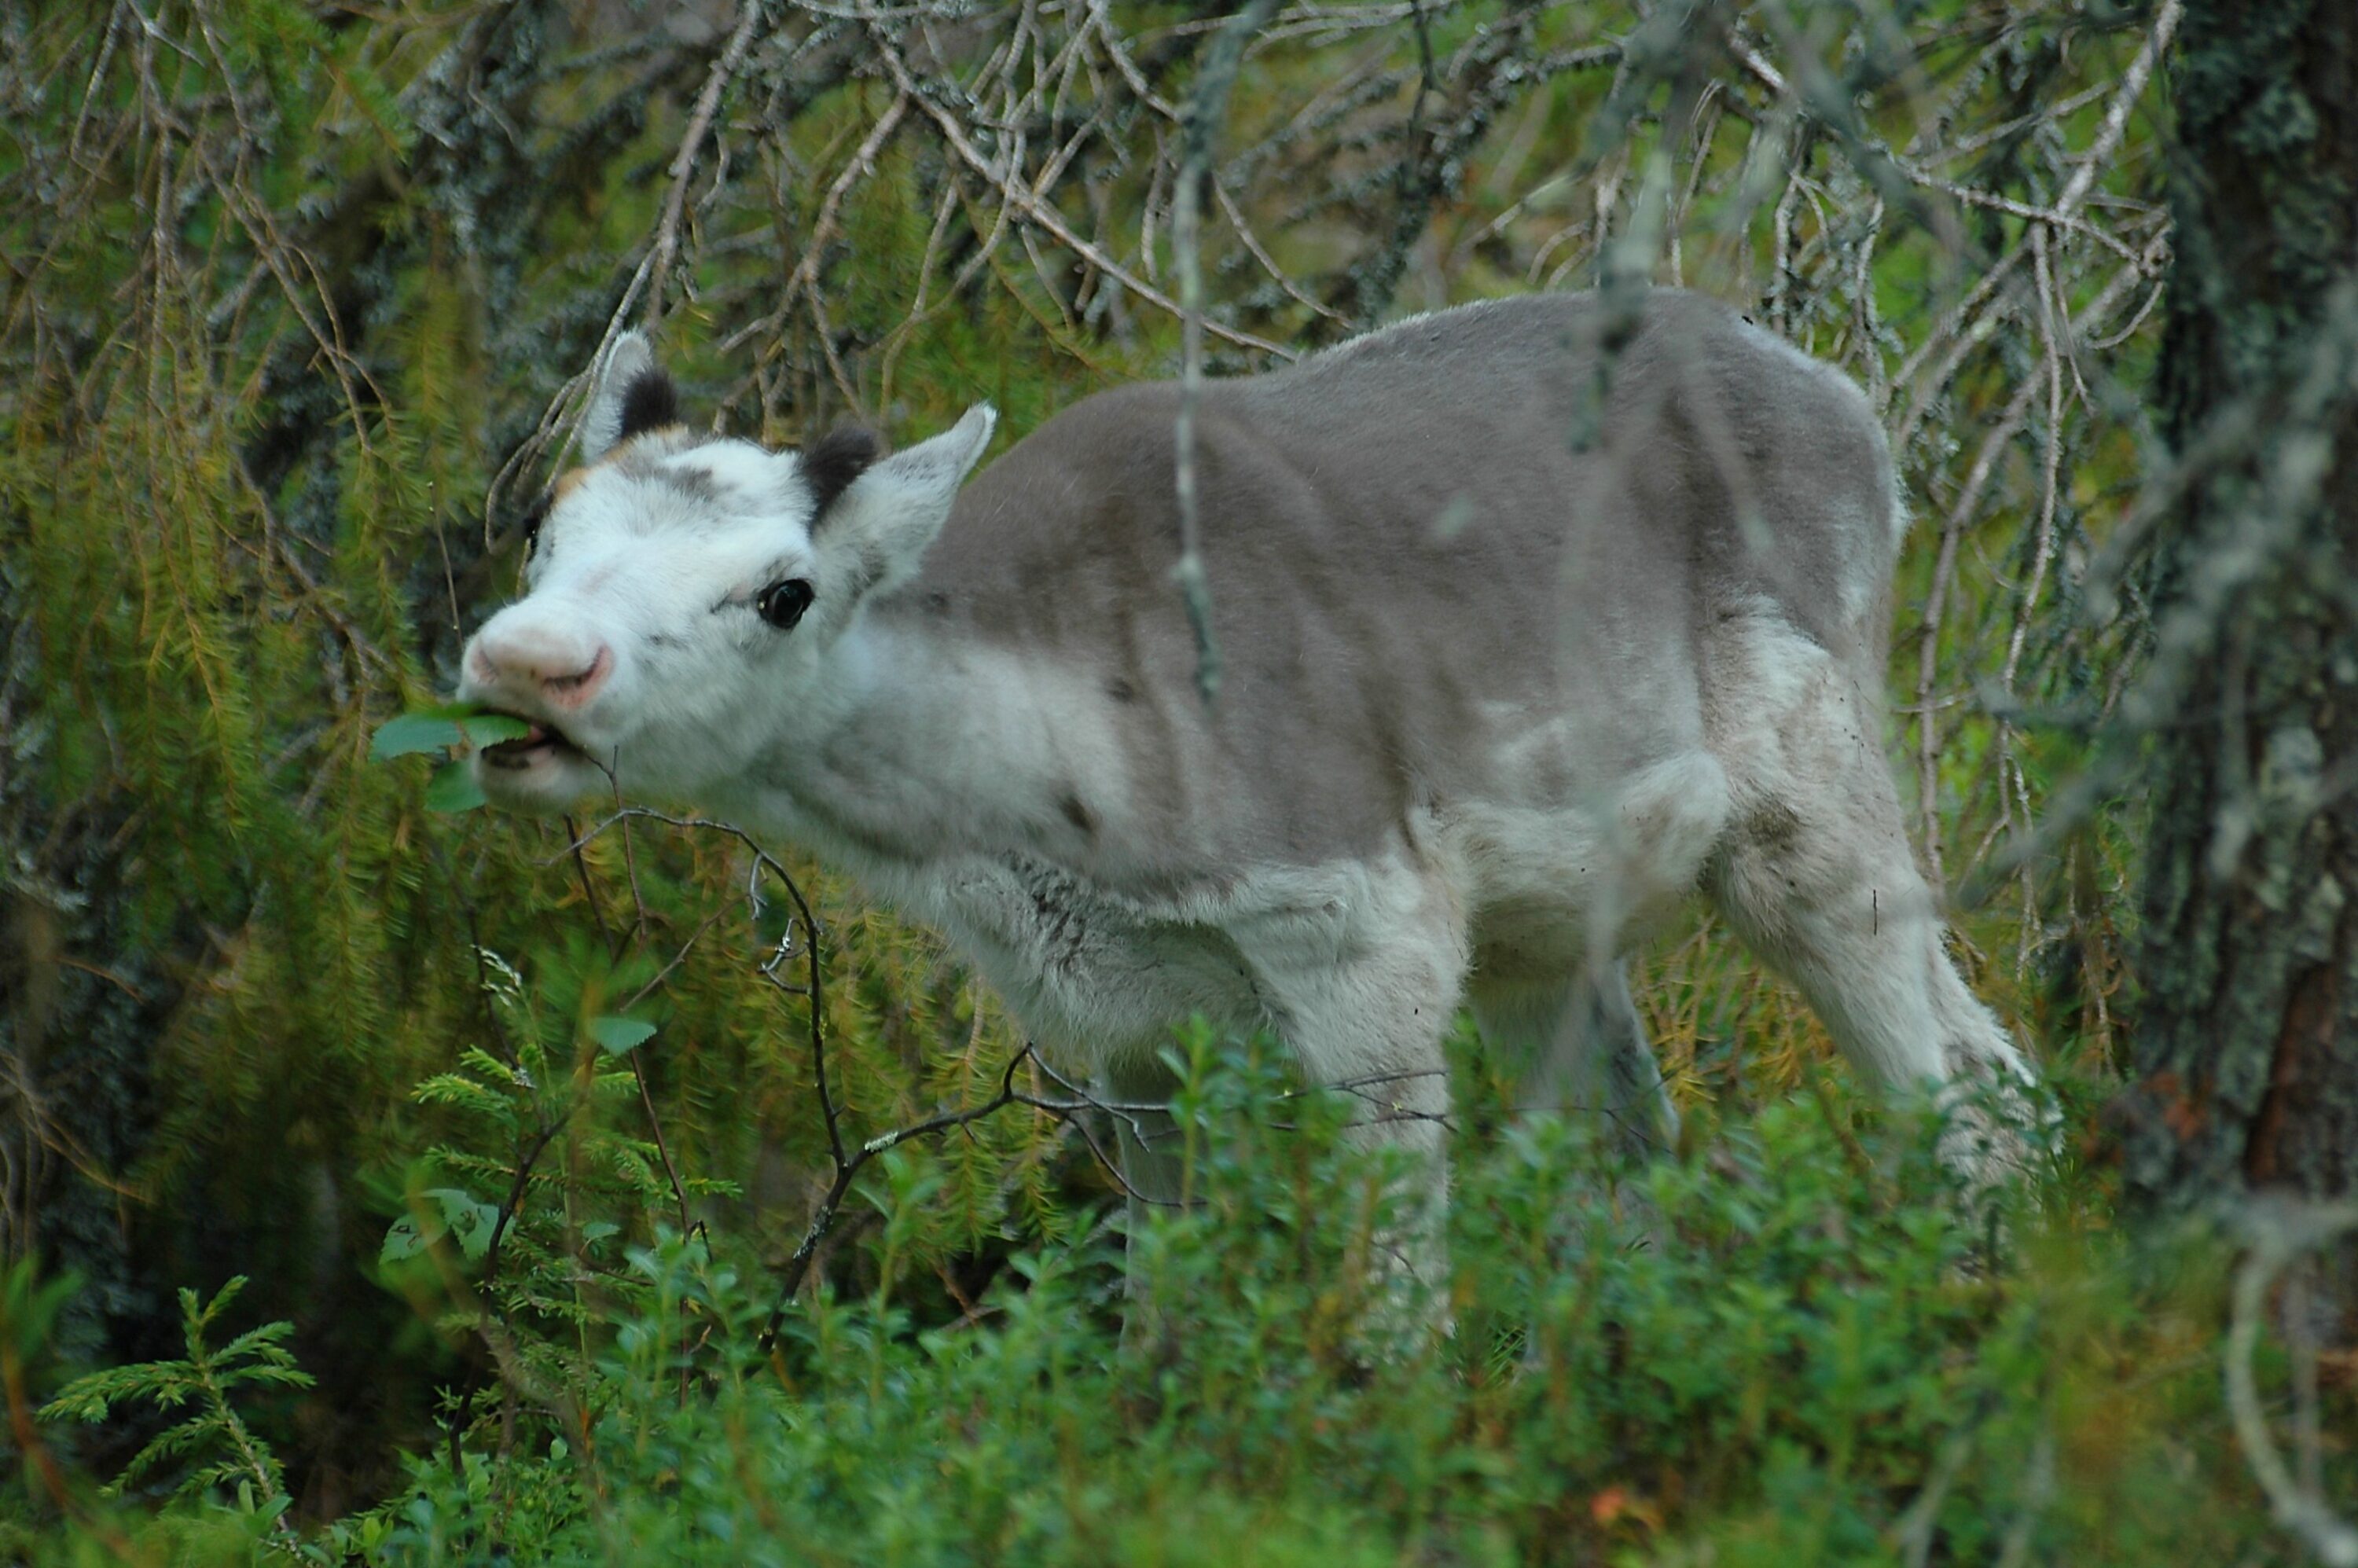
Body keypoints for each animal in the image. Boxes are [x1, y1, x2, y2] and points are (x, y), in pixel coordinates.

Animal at [456, 287, 2036, 1308]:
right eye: (544, 519)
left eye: (786, 590)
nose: (527, 662)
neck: (1033, 810)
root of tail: (1861, 415)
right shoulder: (1129, 1034)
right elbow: (1169, 1301)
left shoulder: (1363, 940)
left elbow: (1394, 1300)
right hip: (1546, 940)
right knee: (1635, 1162)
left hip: (1805, 805)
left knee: (1970, 1076)